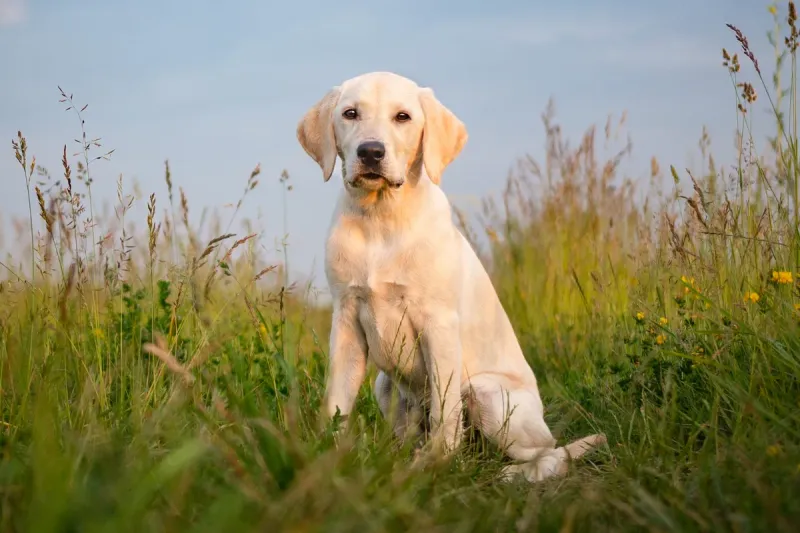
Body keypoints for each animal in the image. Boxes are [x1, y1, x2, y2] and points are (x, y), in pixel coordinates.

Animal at [296, 71, 604, 482]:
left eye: (403, 117)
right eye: (350, 114)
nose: (371, 152)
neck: (381, 218)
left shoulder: (438, 324)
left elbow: (446, 412)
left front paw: (437, 466)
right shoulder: (347, 320)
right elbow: (337, 403)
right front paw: (328, 459)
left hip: (486, 393)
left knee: (547, 452)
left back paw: (510, 474)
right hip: (385, 385)